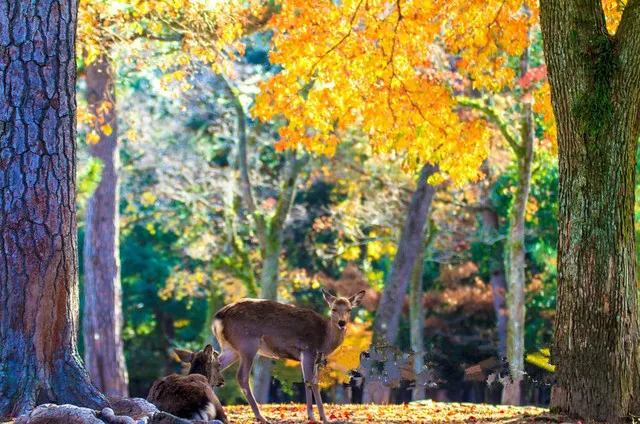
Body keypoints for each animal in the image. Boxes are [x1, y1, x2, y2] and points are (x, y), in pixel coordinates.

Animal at [212, 286, 364, 422]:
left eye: (349, 309)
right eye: (333, 309)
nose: (342, 323)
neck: (325, 339)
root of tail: (218, 317)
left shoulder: (315, 359)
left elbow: (313, 382)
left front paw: (320, 417)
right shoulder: (308, 350)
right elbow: (310, 381)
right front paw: (315, 417)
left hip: (231, 349)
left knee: (215, 368)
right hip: (247, 343)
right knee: (242, 376)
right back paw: (261, 417)